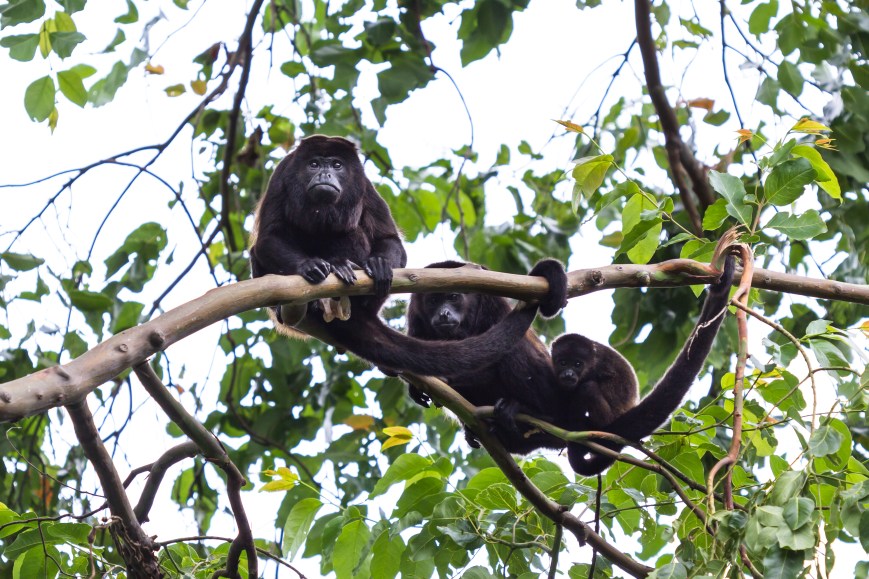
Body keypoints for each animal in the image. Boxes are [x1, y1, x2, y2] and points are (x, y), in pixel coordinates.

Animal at [249, 135, 567, 378]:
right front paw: (310, 265)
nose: (324, 174)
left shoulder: (364, 185)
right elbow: (268, 238)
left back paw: (347, 272)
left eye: (337, 165)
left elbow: (389, 239)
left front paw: (379, 264)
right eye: (313, 163)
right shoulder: (282, 174)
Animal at [406, 260, 569, 453]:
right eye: (433, 300)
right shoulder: (415, 315)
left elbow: (493, 352)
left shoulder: (492, 302)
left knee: (513, 350)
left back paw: (530, 411)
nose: (443, 313)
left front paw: (443, 378)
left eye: (453, 297)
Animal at [555, 253, 736, 476]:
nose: (569, 374)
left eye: (578, 364)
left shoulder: (593, 368)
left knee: (588, 389)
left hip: (607, 418)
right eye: (563, 363)